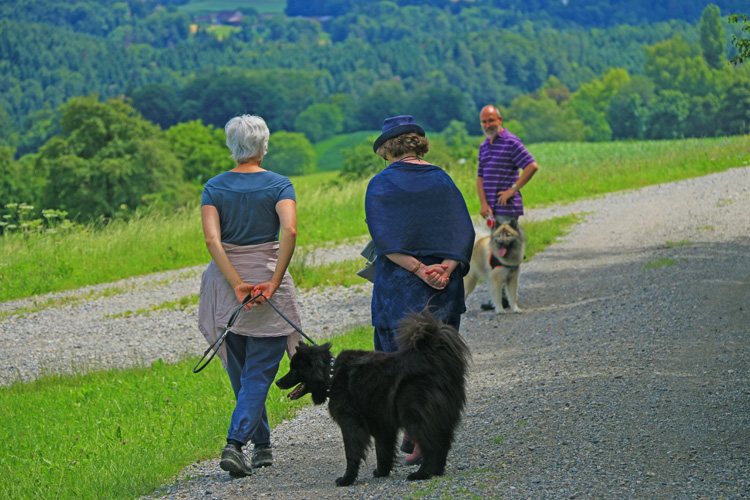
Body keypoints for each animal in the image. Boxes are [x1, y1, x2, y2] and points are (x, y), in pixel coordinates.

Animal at [280, 310, 470, 486]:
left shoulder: (351, 422)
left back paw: (421, 474)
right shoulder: (381, 423)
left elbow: (352, 453)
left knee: (431, 446)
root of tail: (434, 356)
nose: (277, 382)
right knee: (443, 443)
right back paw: (437, 471)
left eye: (294, 369)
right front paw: (382, 472)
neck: (332, 375)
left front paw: (347, 479)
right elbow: (383, 450)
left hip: (415, 414)